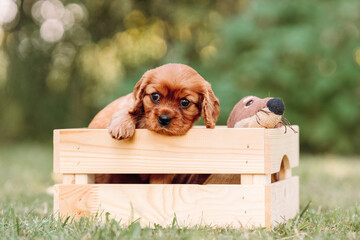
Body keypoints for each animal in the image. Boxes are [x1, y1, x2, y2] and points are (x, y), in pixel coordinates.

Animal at [88, 63, 221, 184]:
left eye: (185, 102)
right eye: (155, 96)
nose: (164, 118)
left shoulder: (163, 173)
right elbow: (128, 110)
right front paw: (122, 126)